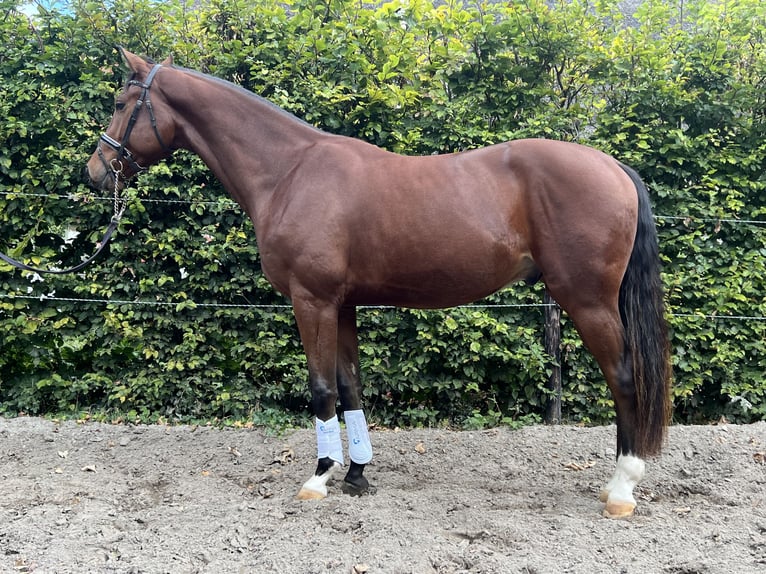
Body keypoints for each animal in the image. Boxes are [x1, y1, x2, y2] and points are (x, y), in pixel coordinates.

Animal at [86, 49, 672, 518]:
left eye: (120, 102)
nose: (94, 172)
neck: (290, 172)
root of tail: (613, 166)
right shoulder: (342, 305)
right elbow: (350, 388)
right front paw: (356, 475)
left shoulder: (313, 302)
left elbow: (322, 388)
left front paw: (319, 477)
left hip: (589, 301)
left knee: (624, 378)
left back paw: (621, 490)